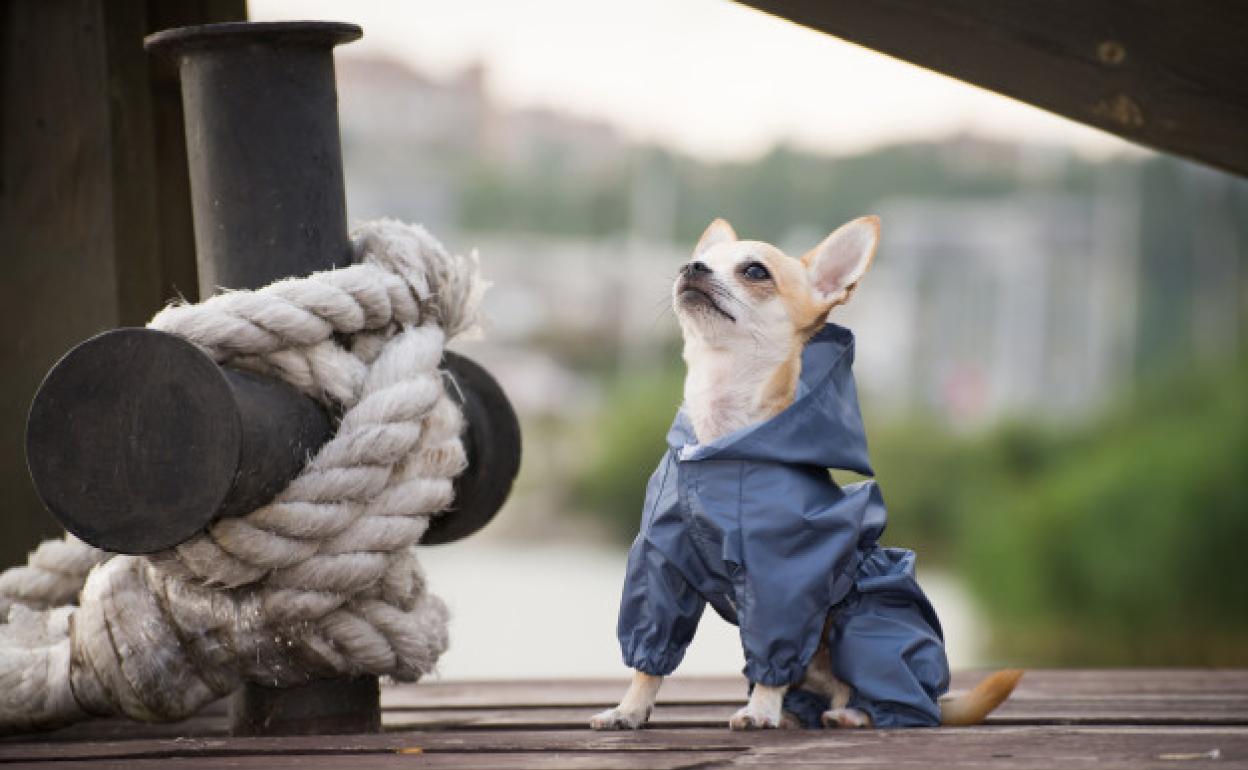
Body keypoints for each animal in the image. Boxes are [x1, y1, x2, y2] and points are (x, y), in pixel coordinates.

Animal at [589, 215, 1018, 733]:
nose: (691, 267)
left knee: (901, 701)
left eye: (755, 271)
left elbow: (774, 649)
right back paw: (798, 713)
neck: (720, 441)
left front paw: (759, 710)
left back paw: (852, 714)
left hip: (869, 620)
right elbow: (649, 658)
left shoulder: (781, 573)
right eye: (700, 260)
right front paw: (630, 709)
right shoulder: (660, 564)